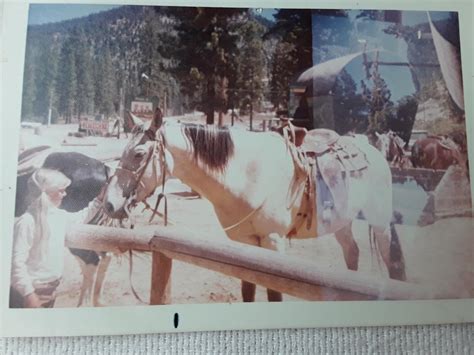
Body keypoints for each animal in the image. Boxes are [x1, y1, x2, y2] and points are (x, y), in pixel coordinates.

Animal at [102, 110, 406, 302]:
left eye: (139, 154)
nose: (109, 204)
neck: (248, 174)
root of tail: (373, 151)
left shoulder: (273, 241)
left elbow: (274, 294)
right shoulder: (244, 242)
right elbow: (247, 289)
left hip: (380, 222)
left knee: (392, 262)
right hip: (342, 222)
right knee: (352, 253)